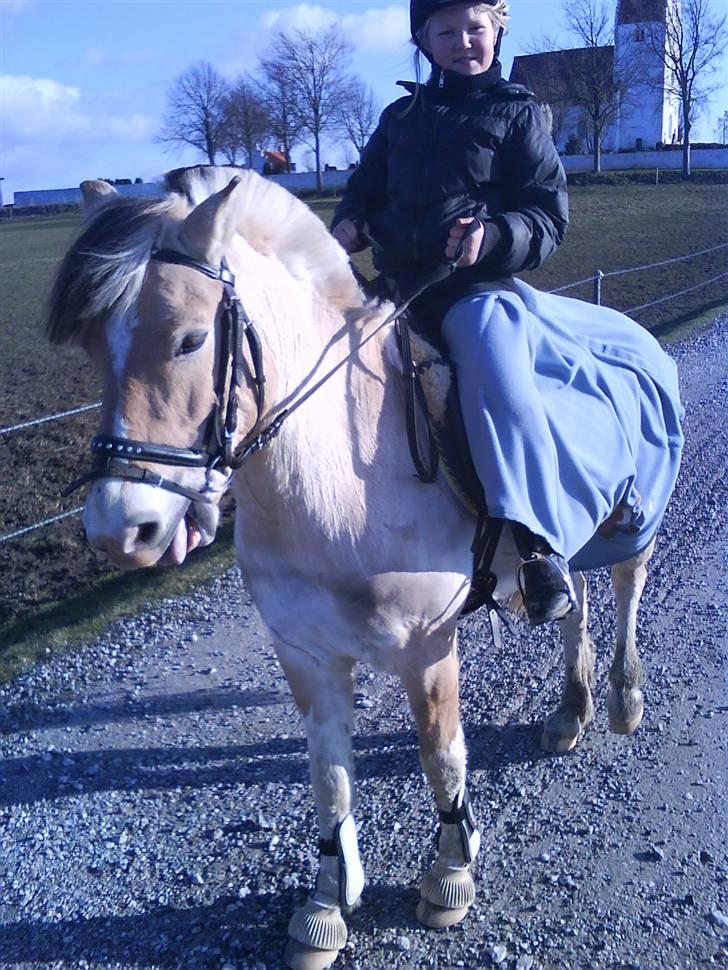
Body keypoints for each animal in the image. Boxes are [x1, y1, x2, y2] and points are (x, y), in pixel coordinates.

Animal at [47, 165, 659, 970]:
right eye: (91, 346)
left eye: (188, 339)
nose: (123, 531)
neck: (336, 483)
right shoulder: (305, 654)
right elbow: (329, 776)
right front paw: (326, 904)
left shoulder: (427, 649)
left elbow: (440, 756)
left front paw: (450, 874)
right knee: (576, 600)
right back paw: (570, 711)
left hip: (630, 523)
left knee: (624, 593)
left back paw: (621, 699)